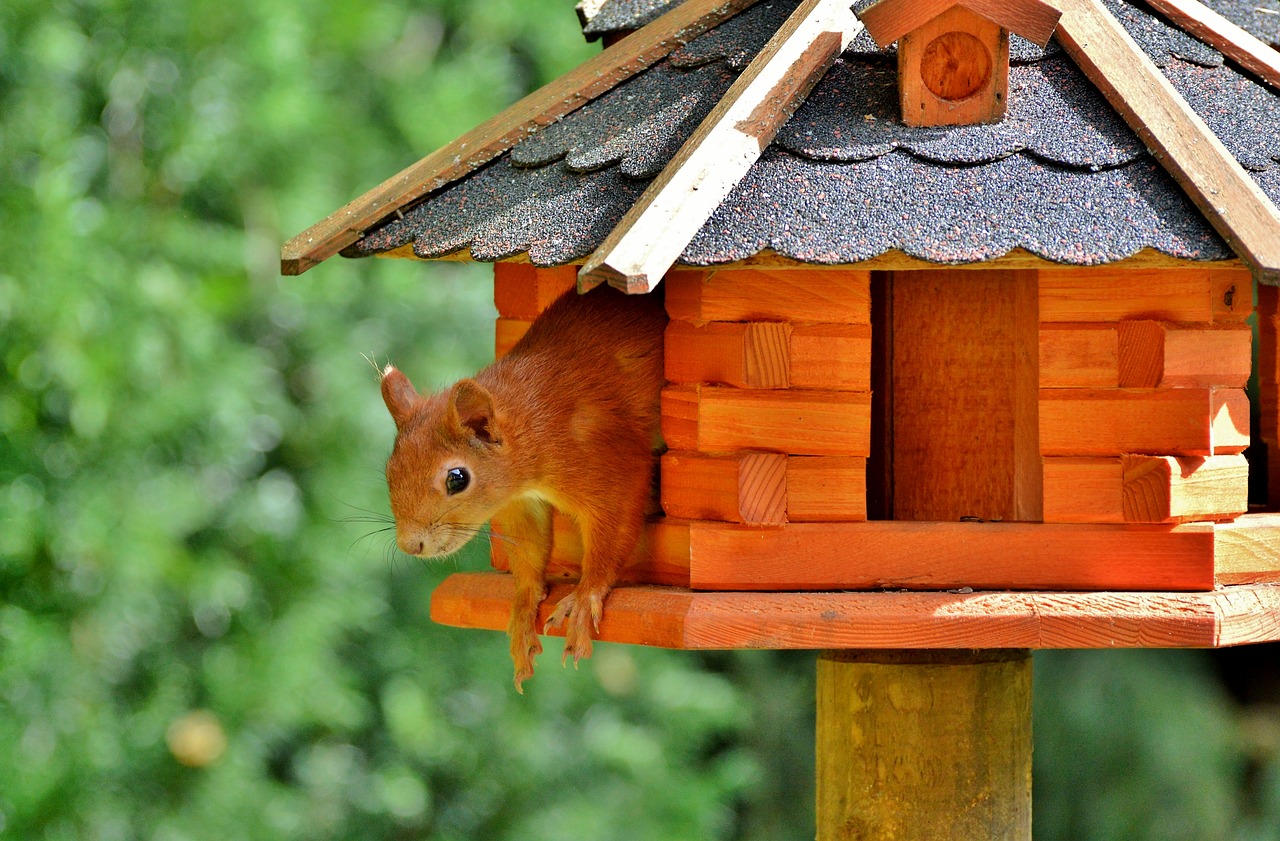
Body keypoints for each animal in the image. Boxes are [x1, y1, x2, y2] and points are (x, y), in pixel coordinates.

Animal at [381, 281, 670, 691]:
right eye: (389, 470)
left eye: (457, 478)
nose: (411, 545)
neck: (533, 424)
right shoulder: (520, 503)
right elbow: (529, 547)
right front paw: (522, 608)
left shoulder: (608, 461)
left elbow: (613, 531)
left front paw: (584, 597)